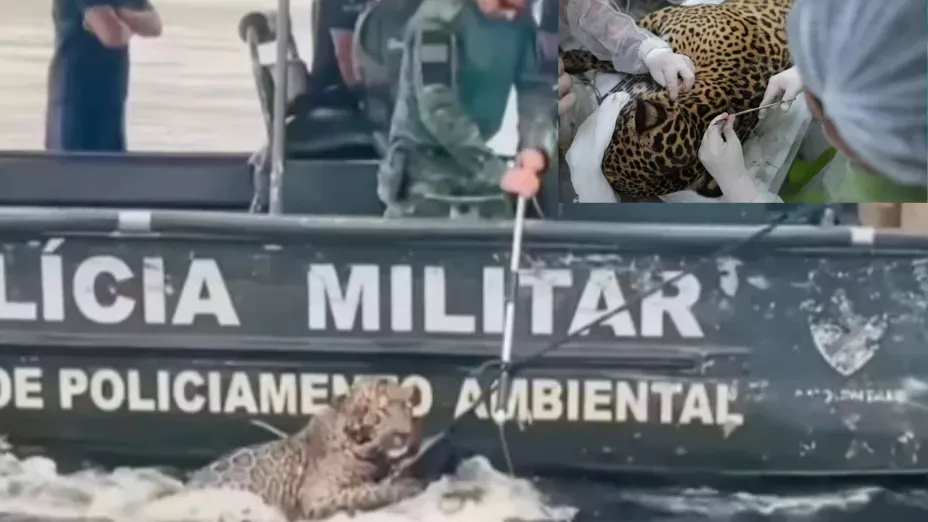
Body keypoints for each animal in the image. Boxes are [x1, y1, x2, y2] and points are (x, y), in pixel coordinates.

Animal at [186, 379, 424, 521]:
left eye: (407, 407)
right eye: (381, 412)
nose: (404, 434)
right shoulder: (317, 498)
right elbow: (365, 491)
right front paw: (408, 485)